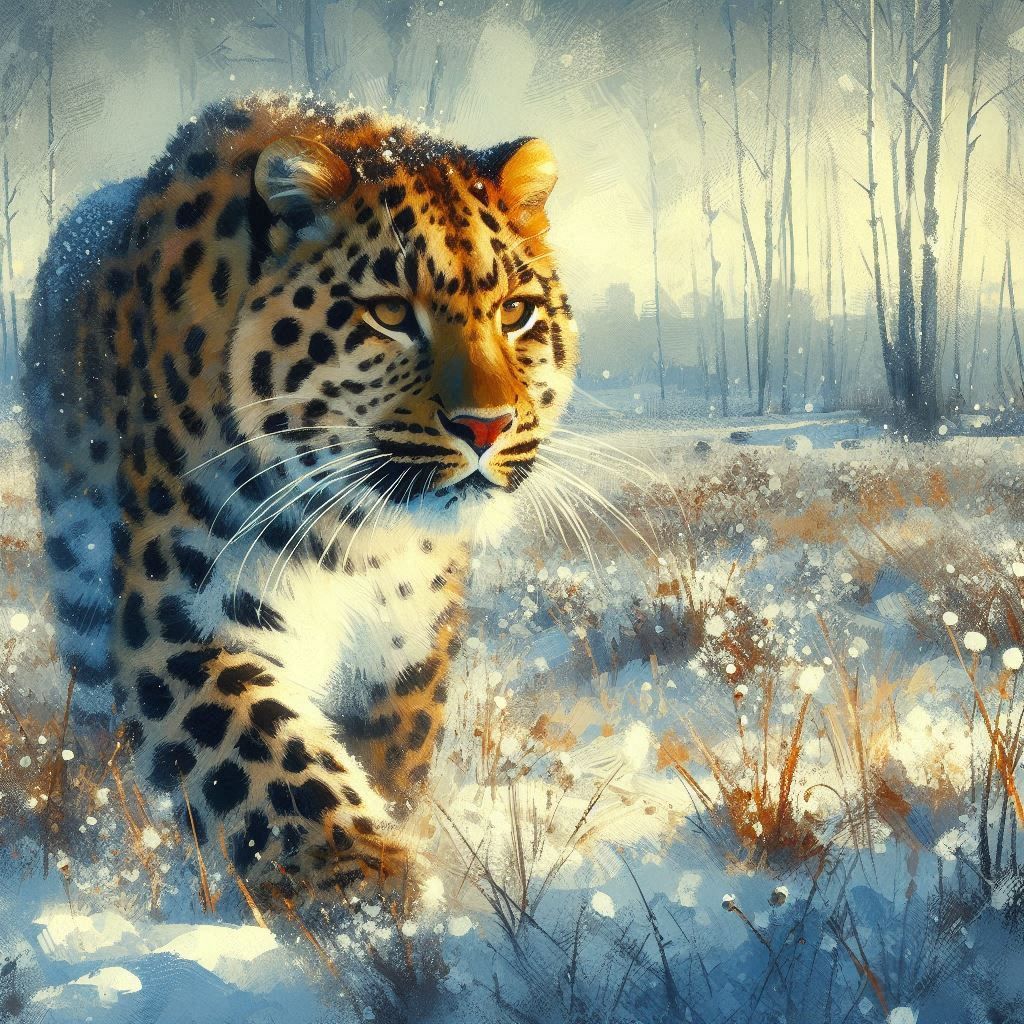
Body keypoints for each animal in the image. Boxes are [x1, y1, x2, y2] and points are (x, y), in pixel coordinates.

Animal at [23, 92, 578, 900]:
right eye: (389, 315)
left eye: (515, 312)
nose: (487, 425)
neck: (366, 533)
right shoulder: (183, 626)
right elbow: (274, 765)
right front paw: (372, 887)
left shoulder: (406, 649)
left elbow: (391, 758)